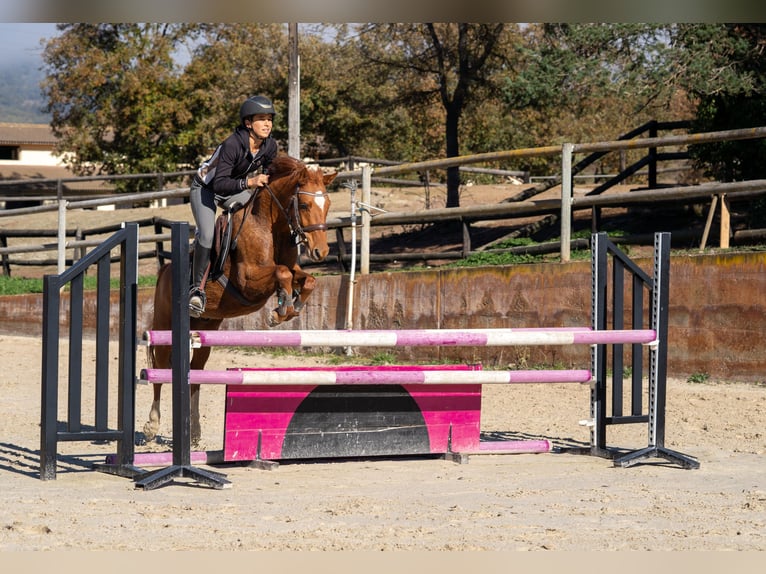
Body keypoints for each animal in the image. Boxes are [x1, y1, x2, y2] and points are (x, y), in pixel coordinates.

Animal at [143, 155, 336, 445]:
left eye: (328, 204)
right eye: (304, 205)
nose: (320, 252)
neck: (271, 226)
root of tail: (165, 270)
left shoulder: (293, 270)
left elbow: (306, 279)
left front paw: (290, 307)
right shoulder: (248, 283)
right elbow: (281, 272)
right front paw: (279, 310)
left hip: (206, 330)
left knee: (195, 373)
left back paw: (194, 433)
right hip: (166, 326)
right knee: (160, 370)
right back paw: (152, 426)